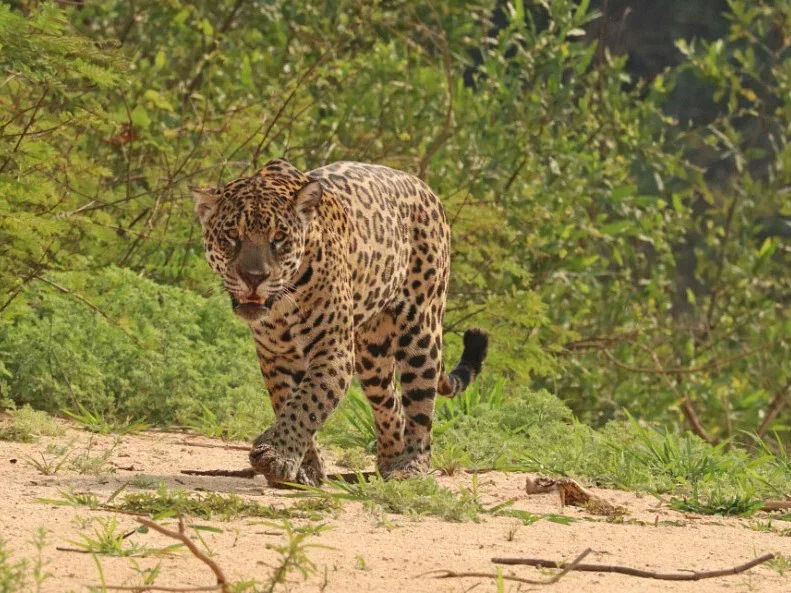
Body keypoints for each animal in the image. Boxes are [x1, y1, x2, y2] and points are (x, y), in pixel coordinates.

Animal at [192, 158, 488, 486]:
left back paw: (411, 467)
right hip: (371, 355)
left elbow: (308, 402)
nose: (254, 277)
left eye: (279, 238)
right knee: (390, 405)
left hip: (421, 329)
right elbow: (289, 402)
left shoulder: (332, 350)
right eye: (231, 235)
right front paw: (304, 468)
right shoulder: (276, 357)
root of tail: (425, 188)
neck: (283, 303)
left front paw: (276, 455)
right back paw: (389, 462)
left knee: (421, 404)